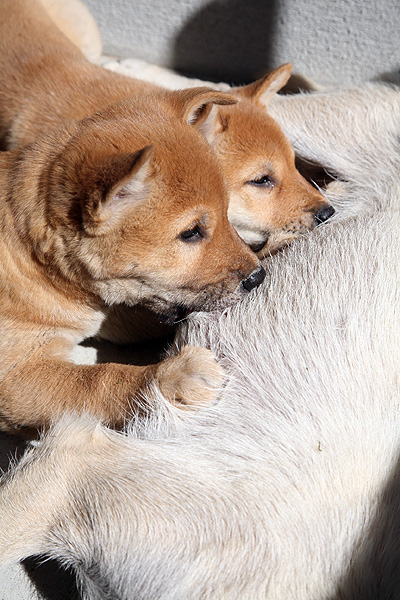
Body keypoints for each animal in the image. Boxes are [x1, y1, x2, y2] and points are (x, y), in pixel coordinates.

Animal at [0, 0, 262, 432]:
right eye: (191, 233)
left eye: (227, 214)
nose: (259, 277)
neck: (37, 264)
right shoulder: (15, 373)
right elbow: (96, 382)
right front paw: (171, 378)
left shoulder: (111, 306)